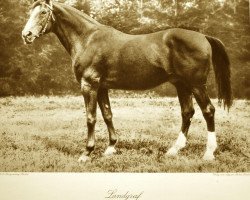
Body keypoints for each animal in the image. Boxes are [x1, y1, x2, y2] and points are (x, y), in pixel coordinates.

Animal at [22, 0, 232, 162]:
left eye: (43, 13)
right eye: (30, 12)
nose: (26, 35)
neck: (87, 39)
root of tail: (203, 36)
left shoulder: (89, 85)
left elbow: (91, 117)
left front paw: (86, 153)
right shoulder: (102, 87)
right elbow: (107, 114)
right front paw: (110, 148)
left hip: (196, 85)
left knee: (208, 111)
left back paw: (208, 153)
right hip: (182, 85)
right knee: (187, 112)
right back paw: (173, 150)